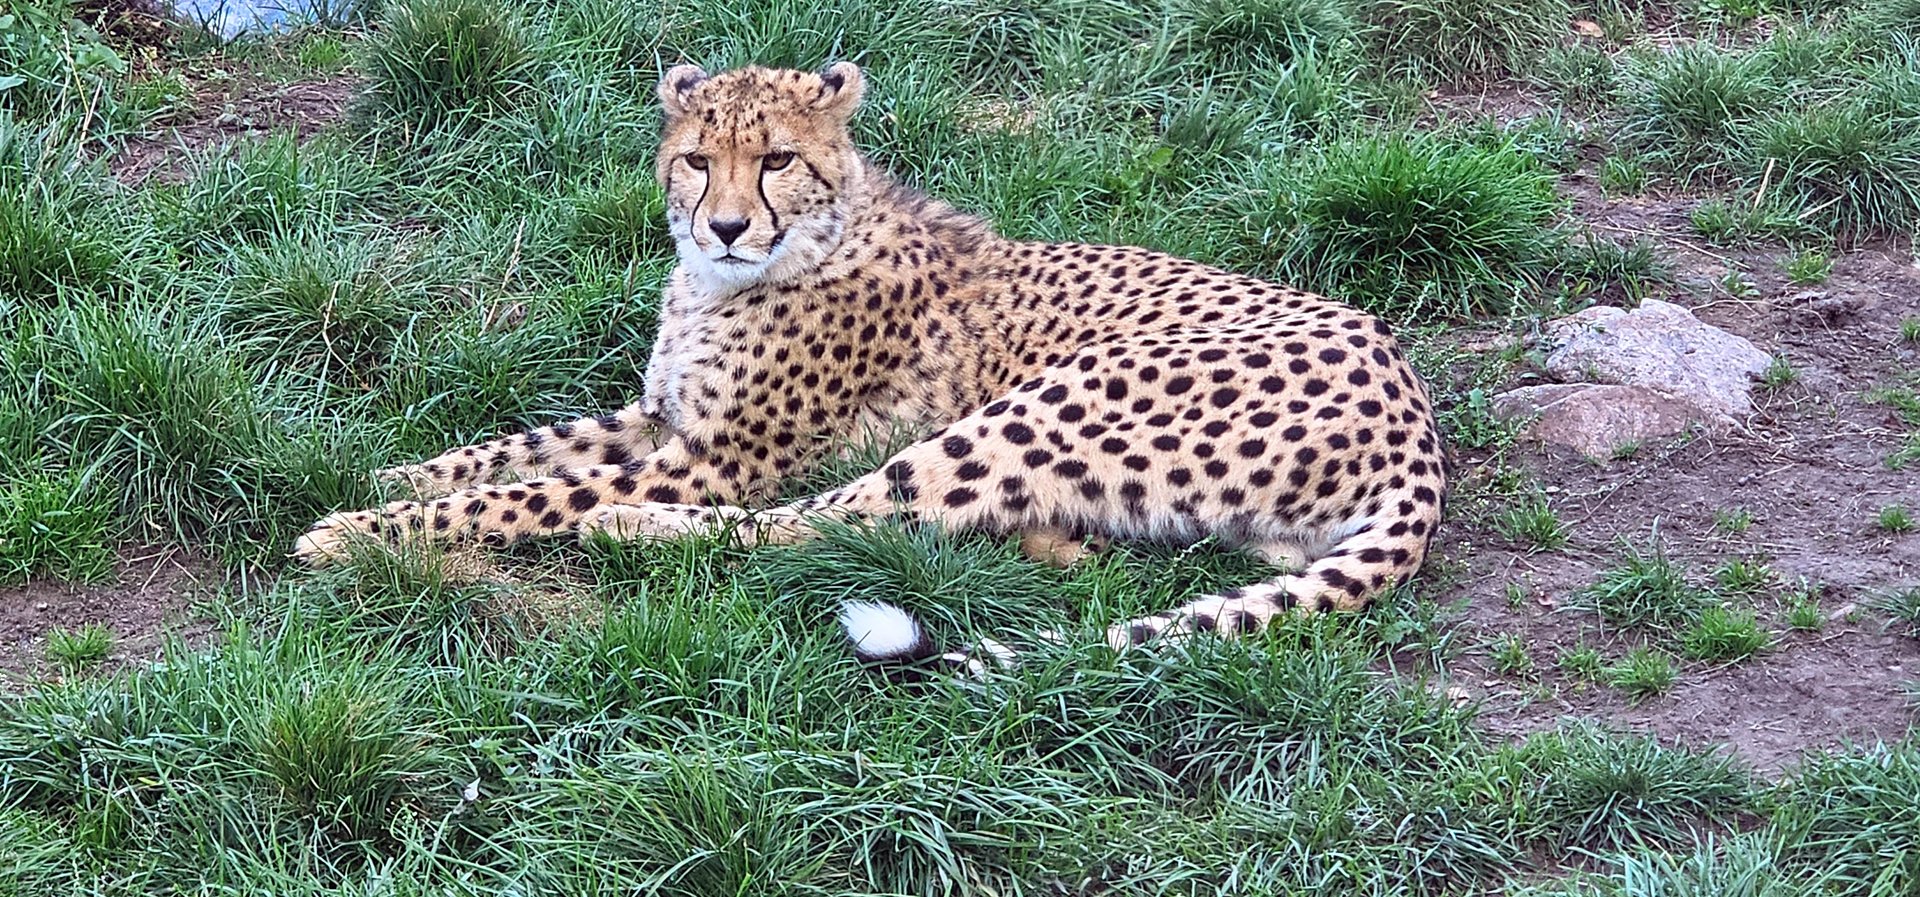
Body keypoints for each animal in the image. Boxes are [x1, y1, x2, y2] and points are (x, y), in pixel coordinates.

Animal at [295, 61, 1449, 673]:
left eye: (776, 159)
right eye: (695, 159)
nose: (723, 226)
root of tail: (1417, 422)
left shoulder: (714, 460)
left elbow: (526, 494)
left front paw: (354, 532)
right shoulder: (659, 416)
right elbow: (515, 445)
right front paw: (386, 474)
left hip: (1043, 407)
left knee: (834, 520)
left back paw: (630, 529)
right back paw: (1055, 542)